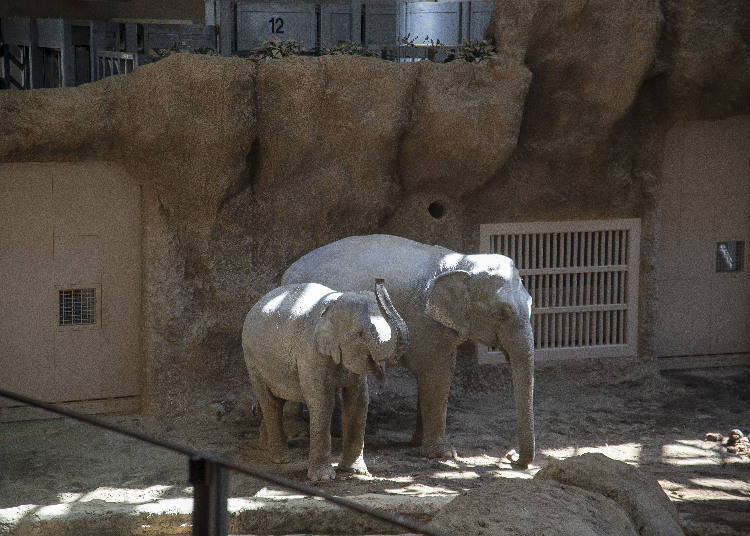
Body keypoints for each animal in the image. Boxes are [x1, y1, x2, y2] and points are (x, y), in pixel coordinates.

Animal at [242, 278, 408, 480]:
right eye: (360, 334)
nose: (379, 280)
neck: (333, 305)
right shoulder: (310, 354)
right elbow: (323, 402)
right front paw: (323, 478)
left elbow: (359, 401)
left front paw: (356, 472)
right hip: (252, 359)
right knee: (270, 401)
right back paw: (280, 459)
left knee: (276, 400)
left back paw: (265, 447)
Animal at [282, 233, 536, 464]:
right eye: (502, 312)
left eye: (532, 302)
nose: (511, 457)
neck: (461, 261)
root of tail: (287, 273)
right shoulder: (427, 324)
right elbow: (438, 376)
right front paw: (441, 454)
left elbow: (429, 379)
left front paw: (417, 442)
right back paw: (297, 433)